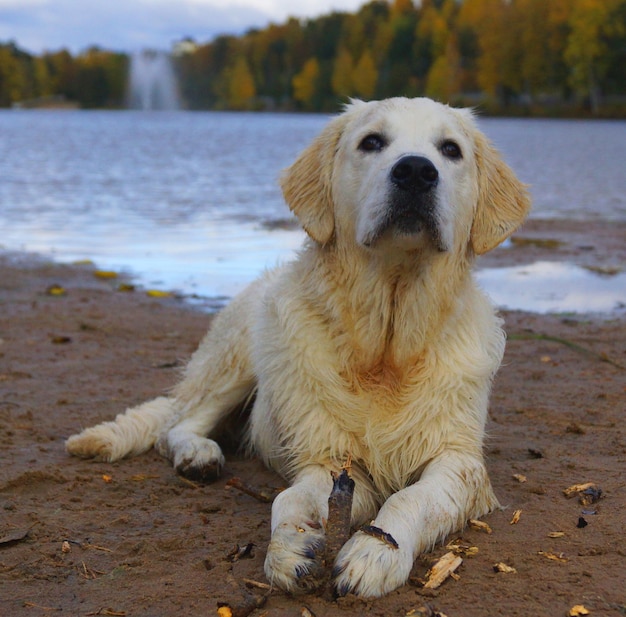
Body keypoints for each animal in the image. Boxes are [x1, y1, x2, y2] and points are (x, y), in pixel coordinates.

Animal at [67, 96, 528, 596]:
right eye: (371, 142)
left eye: (450, 149)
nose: (415, 172)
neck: (385, 347)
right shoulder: (328, 459)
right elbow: (289, 499)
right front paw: (289, 545)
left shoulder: (458, 460)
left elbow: (414, 497)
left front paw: (374, 552)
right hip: (240, 357)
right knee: (177, 424)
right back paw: (198, 455)